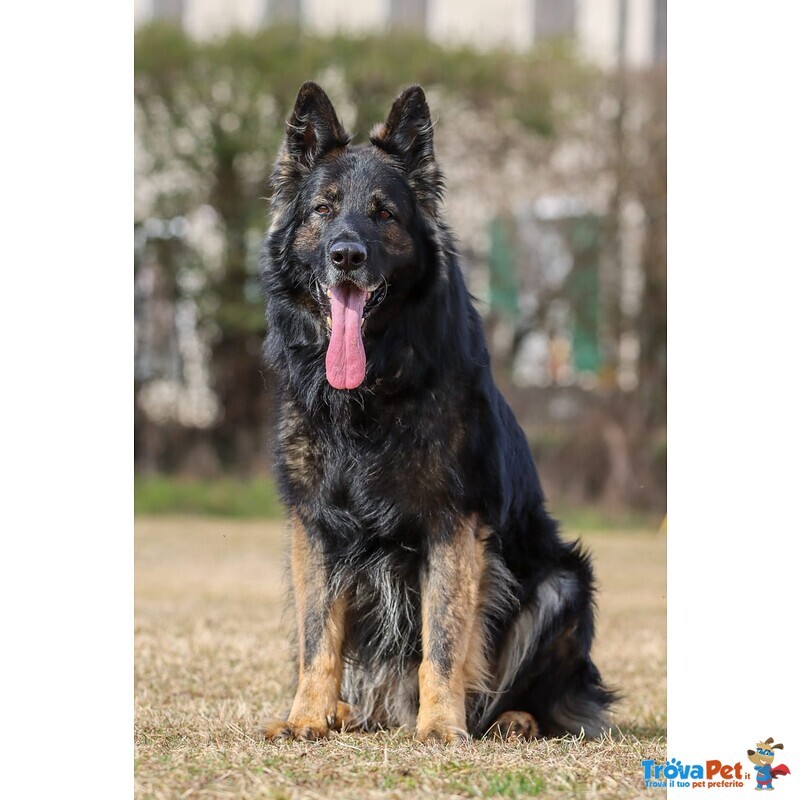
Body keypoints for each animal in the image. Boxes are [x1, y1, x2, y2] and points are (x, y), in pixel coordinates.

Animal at [260, 83, 612, 744]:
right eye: (323, 209)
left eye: (383, 214)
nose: (346, 255)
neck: (370, 395)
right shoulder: (315, 525)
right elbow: (318, 638)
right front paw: (306, 716)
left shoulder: (453, 523)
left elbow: (443, 641)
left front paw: (442, 727)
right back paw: (345, 711)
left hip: (562, 585)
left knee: (543, 700)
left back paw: (509, 720)